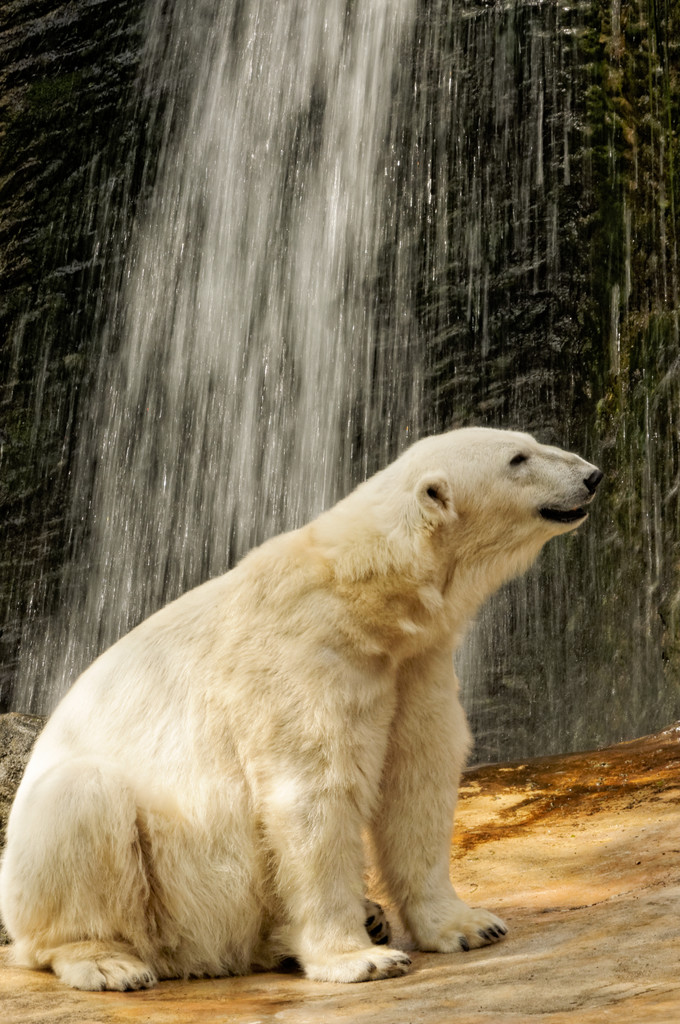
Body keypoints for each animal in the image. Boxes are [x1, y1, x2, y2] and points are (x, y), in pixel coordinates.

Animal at [0, 427, 602, 990]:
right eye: (517, 459)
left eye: (529, 442)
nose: (592, 475)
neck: (367, 598)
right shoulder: (302, 660)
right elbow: (314, 794)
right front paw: (361, 959)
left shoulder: (415, 665)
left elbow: (417, 780)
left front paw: (469, 925)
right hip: (130, 888)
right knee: (80, 802)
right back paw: (107, 962)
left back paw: (360, 918)